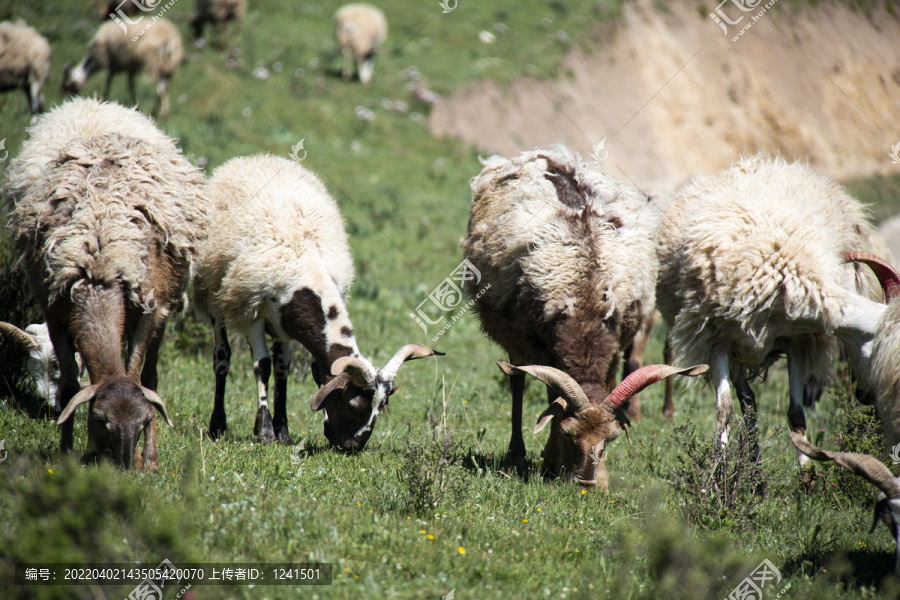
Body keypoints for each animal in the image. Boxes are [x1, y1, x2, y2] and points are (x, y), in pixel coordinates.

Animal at [3, 98, 211, 472]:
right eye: (99, 419)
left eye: (145, 421)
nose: (125, 465)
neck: (99, 277)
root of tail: (96, 105)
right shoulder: (56, 312)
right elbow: (71, 387)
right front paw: (67, 453)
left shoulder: (148, 310)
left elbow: (139, 376)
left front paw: (147, 459)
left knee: (151, 374)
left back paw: (151, 459)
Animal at [195, 154, 442, 450]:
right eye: (352, 405)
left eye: (381, 407)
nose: (353, 447)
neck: (305, 270)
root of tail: (255, 157)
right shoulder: (250, 310)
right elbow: (262, 366)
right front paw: (265, 432)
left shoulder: (284, 322)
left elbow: (282, 369)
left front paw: (281, 431)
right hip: (215, 298)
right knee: (222, 358)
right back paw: (217, 425)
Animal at [460, 148, 708, 490]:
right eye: (567, 434)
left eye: (612, 438)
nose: (588, 484)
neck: (586, 312)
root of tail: (545, 153)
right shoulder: (539, 346)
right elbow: (552, 397)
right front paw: (550, 462)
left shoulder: (617, 339)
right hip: (511, 334)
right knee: (517, 382)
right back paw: (516, 454)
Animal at [656, 155, 896, 460]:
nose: (866, 397)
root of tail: (760, 161)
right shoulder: (714, 340)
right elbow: (724, 413)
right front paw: (717, 471)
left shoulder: (799, 341)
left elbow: (796, 415)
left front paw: (806, 471)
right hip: (737, 351)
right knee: (747, 403)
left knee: (751, 403)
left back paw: (755, 466)